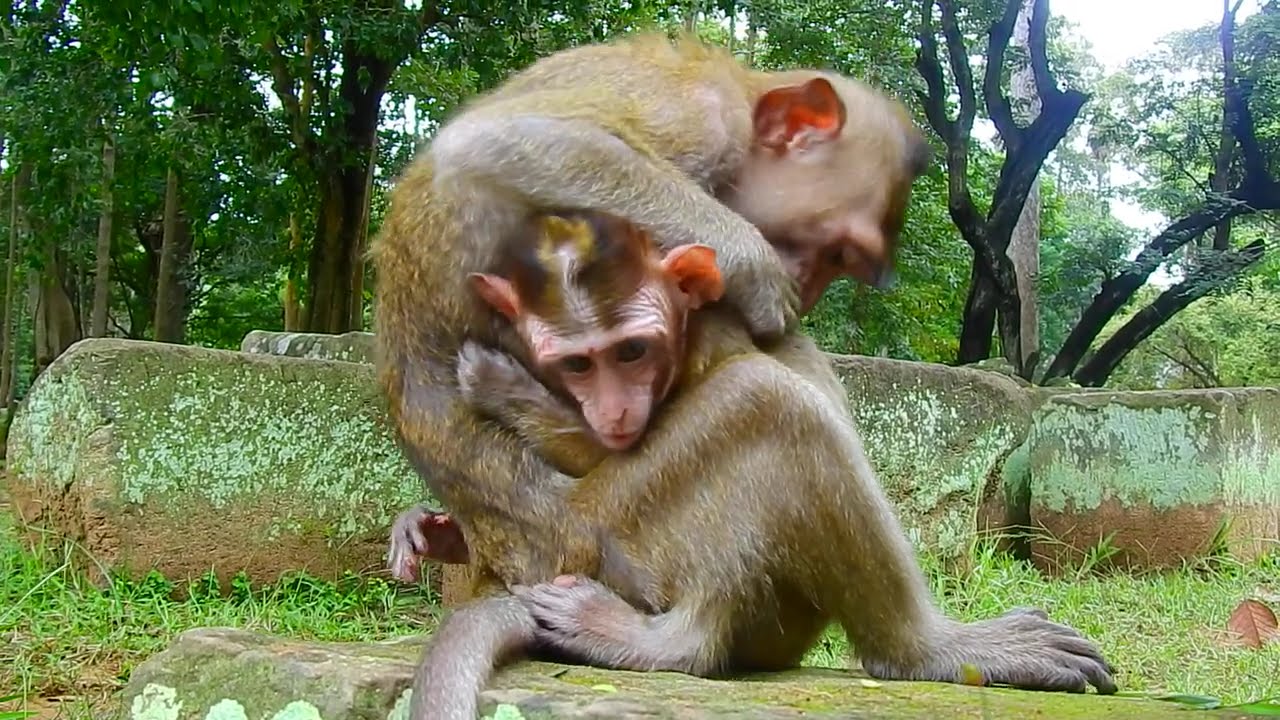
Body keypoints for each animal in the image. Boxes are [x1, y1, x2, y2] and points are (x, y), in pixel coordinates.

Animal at [370, 31, 1114, 720]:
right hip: (608, 540)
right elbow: (503, 143)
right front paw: (751, 264)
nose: (807, 287)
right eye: (838, 250)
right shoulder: (698, 121)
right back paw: (906, 649)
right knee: (776, 407)